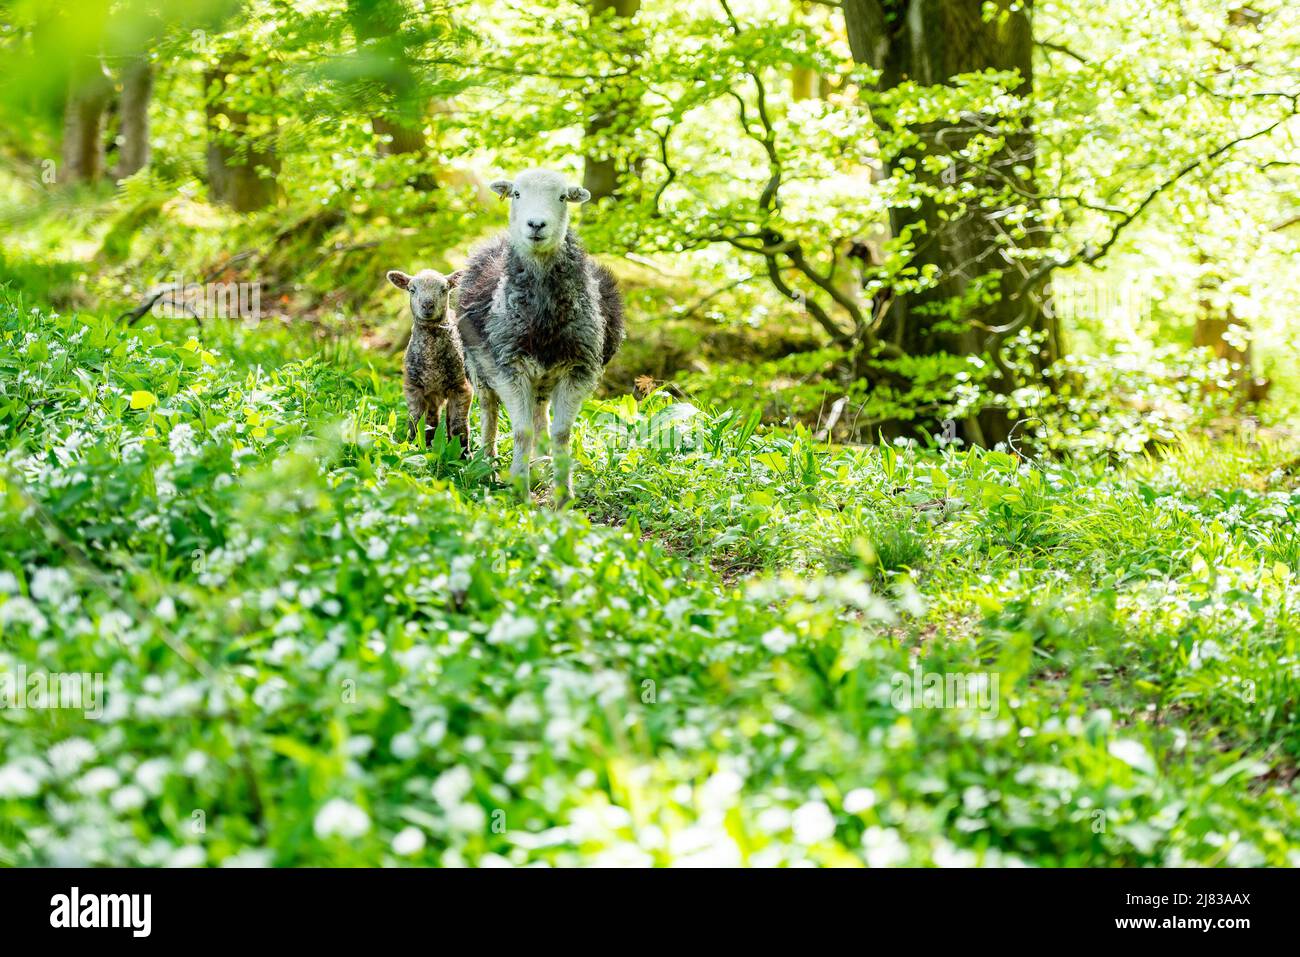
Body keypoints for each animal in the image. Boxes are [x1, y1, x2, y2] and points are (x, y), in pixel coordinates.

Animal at [387, 265, 475, 452]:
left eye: (444, 289)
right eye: (412, 289)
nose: (427, 305)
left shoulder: (461, 387)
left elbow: (458, 425)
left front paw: (462, 453)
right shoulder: (413, 387)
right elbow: (416, 421)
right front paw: (414, 446)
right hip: (432, 393)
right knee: (433, 419)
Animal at [457, 167, 624, 504]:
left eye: (562, 197)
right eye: (517, 193)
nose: (536, 224)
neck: (544, 317)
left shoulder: (578, 369)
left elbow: (560, 433)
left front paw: (562, 494)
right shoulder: (509, 368)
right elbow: (521, 431)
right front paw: (518, 490)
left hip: (543, 380)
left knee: (540, 418)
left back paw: (541, 465)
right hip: (479, 369)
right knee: (489, 413)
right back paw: (487, 465)